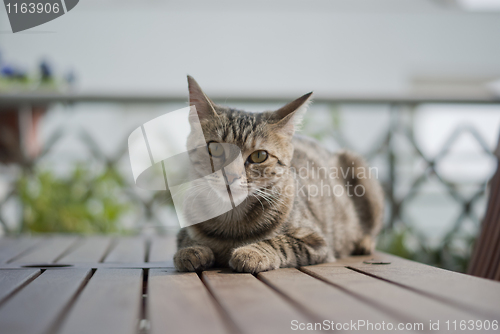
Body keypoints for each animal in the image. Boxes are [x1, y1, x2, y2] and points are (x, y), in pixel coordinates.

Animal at [174, 76, 384, 274]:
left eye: (259, 156)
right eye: (215, 148)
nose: (231, 176)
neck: (231, 219)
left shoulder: (316, 242)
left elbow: (280, 243)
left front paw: (251, 252)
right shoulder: (184, 231)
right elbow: (185, 241)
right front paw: (191, 250)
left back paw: (364, 243)